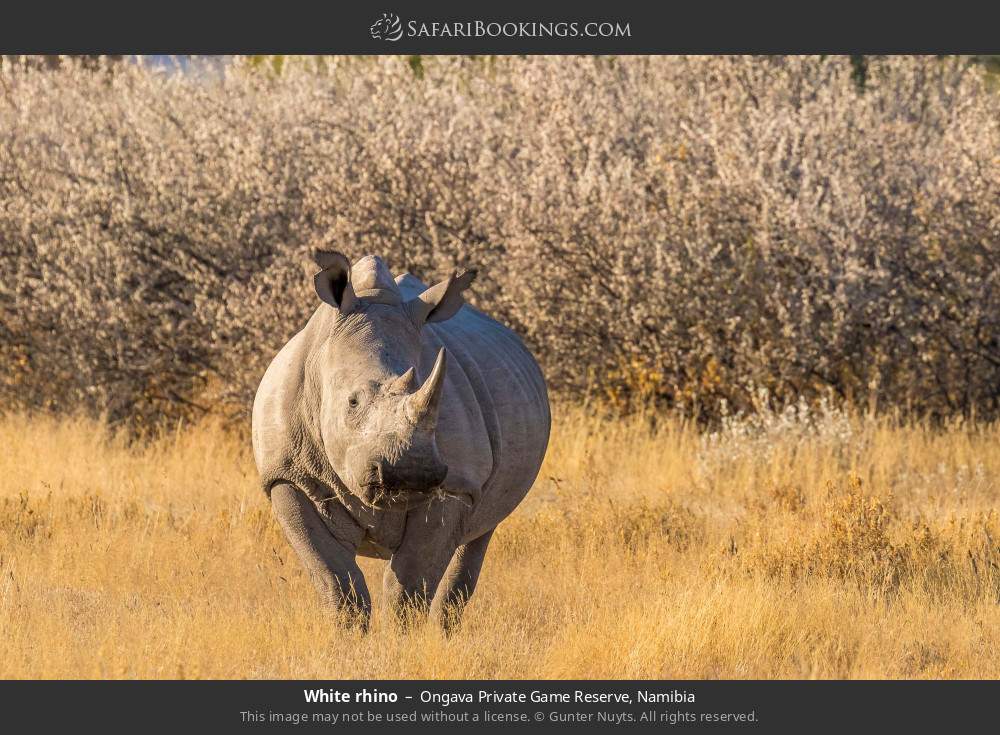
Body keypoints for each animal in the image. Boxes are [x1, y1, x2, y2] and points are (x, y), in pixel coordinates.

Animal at [249, 252, 548, 628]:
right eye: (352, 402)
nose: (410, 473)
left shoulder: (456, 486)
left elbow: (408, 587)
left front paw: (400, 637)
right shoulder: (287, 477)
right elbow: (337, 581)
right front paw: (349, 636)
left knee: (478, 536)